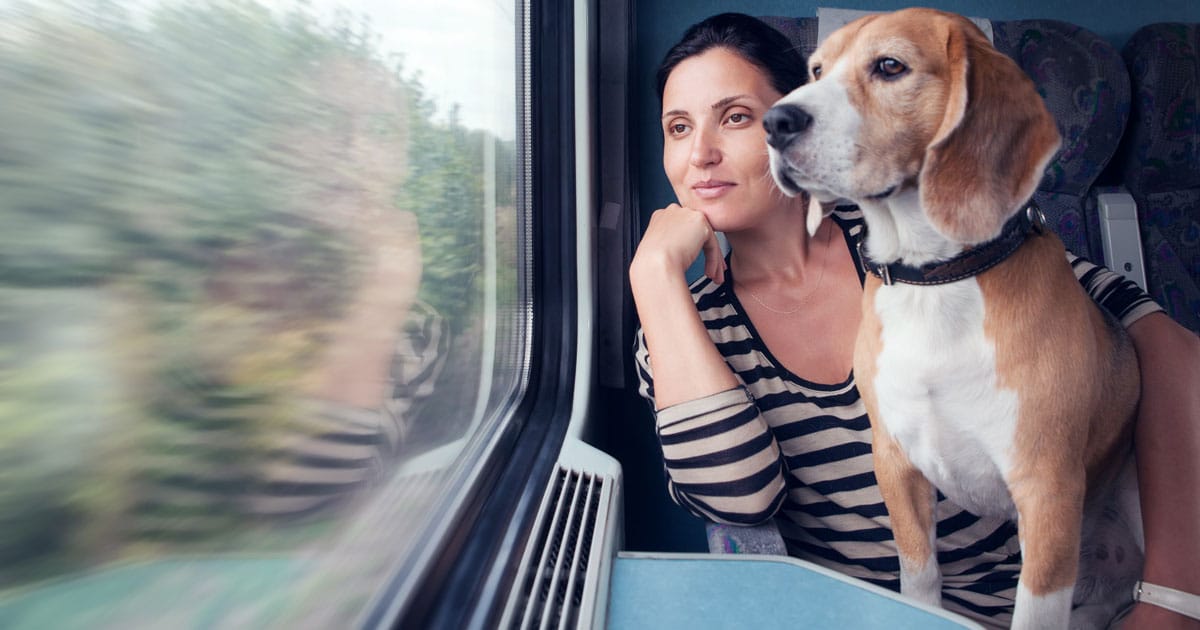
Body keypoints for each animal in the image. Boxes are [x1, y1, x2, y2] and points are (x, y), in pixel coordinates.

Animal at [768, 7, 1142, 624]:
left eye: (890, 66)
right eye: (816, 69)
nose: (774, 121)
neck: (935, 278)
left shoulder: (1048, 492)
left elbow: (1035, 611)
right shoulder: (895, 462)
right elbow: (919, 578)